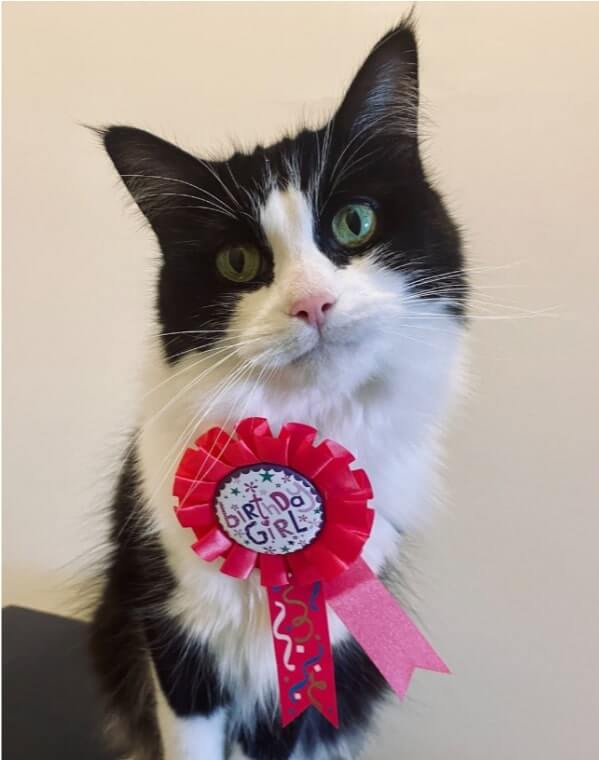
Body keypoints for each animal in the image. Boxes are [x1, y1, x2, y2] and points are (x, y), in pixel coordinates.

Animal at [90, 17, 468, 760]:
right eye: (239, 262)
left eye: (354, 223)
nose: (311, 304)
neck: (302, 423)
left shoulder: (322, 654)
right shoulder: (178, 632)